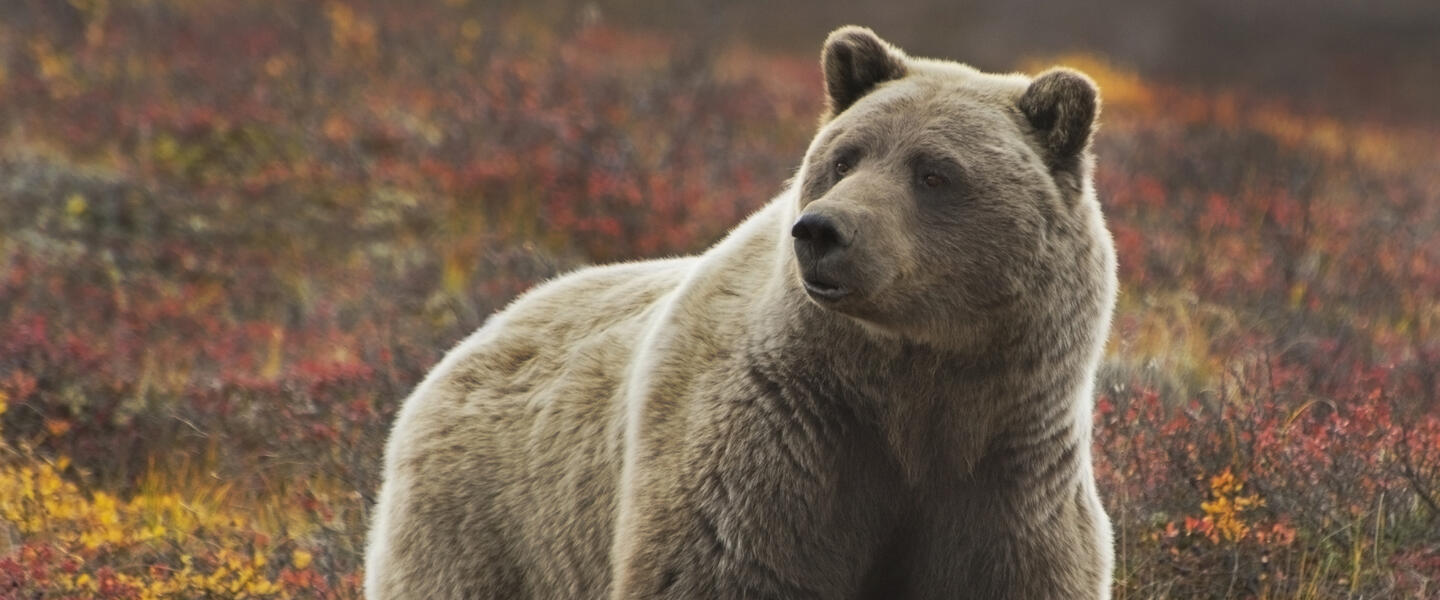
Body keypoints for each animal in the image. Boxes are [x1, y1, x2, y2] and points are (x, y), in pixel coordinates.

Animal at [365, 24, 1117, 598]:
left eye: (934, 172)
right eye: (844, 158)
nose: (822, 231)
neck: (913, 386)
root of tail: (474, 338)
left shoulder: (1004, 474)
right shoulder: (779, 446)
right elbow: (724, 566)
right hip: (489, 524)